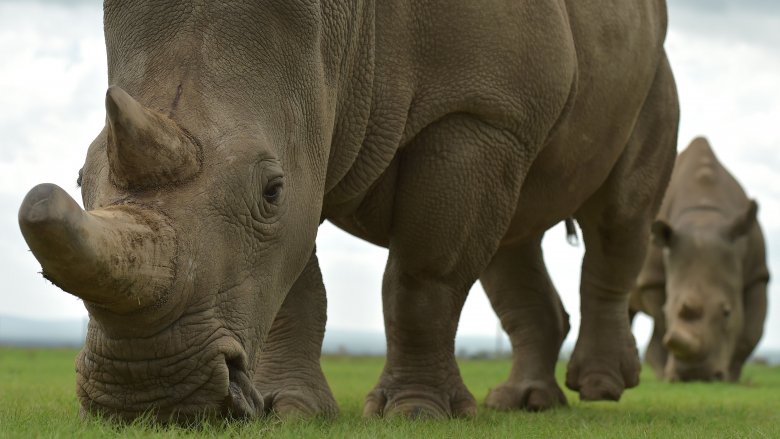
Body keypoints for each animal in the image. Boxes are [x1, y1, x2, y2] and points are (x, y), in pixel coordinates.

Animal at [18, 0, 676, 422]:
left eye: (270, 191)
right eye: (80, 179)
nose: (146, 392)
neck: (344, 23)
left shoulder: (479, 109)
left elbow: (424, 279)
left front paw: (417, 414)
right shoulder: (309, 118)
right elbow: (293, 283)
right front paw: (290, 411)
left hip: (645, 76)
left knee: (618, 217)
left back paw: (600, 388)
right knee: (513, 237)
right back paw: (525, 403)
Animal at [632, 138, 772, 382]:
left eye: (727, 312)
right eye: (668, 309)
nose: (694, 375)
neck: (703, 216)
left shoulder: (758, 273)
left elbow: (751, 332)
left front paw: (731, 378)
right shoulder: (652, 279)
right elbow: (662, 324)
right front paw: (668, 375)